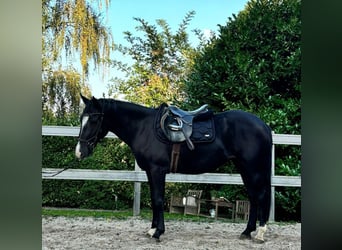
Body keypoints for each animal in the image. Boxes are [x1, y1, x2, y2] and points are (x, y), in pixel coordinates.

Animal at [75, 94, 272, 242]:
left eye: (94, 118)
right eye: (82, 118)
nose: (79, 151)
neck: (143, 128)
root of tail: (264, 125)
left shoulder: (157, 171)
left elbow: (158, 199)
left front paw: (158, 232)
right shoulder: (150, 172)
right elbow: (154, 199)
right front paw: (152, 229)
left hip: (253, 168)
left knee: (260, 196)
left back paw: (260, 233)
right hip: (244, 168)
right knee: (253, 197)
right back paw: (247, 231)